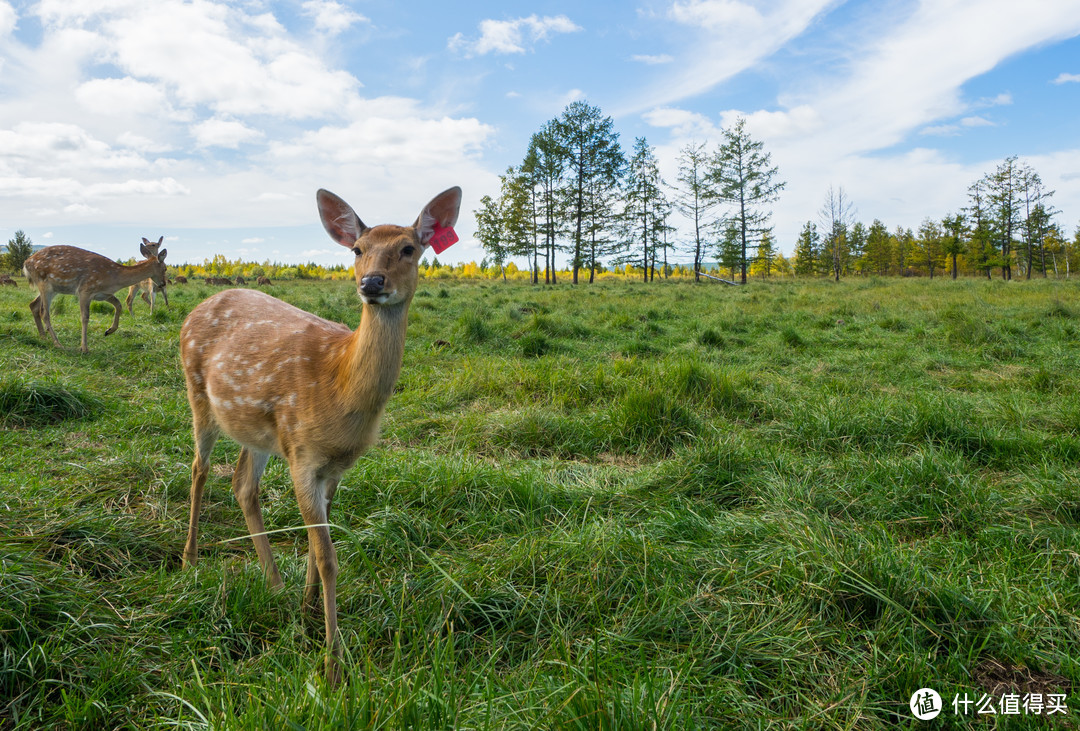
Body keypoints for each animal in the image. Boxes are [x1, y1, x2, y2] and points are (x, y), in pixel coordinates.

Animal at [24, 241, 167, 354]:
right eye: (165, 268)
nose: (163, 284)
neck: (115, 278)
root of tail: (26, 263)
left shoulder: (103, 294)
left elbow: (119, 305)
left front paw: (109, 331)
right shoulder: (85, 290)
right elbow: (85, 317)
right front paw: (84, 348)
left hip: (54, 289)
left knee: (33, 305)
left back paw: (44, 338)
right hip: (44, 283)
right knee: (44, 313)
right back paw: (58, 344)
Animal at [178, 183, 464, 682]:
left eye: (409, 248)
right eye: (357, 249)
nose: (371, 283)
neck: (339, 384)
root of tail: (195, 309)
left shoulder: (334, 467)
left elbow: (316, 548)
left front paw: (308, 611)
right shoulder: (302, 453)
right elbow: (328, 557)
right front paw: (332, 662)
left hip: (256, 430)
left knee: (243, 485)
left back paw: (274, 583)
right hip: (198, 393)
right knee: (199, 468)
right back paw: (190, 558)